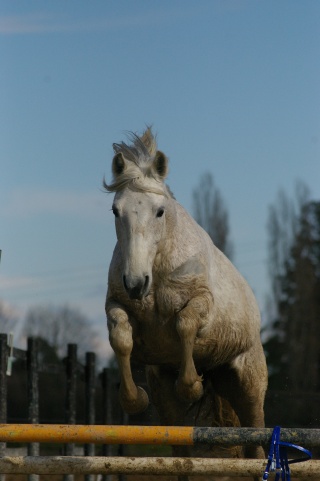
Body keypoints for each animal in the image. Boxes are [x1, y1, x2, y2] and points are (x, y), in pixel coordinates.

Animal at [104, 126, 268, 462]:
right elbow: (121, 338)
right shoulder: (115, 303)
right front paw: (134, 399)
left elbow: (185, 324)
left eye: (159, 212)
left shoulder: (202, 301)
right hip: (171, 405)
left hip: (249, 388)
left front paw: (191, 385)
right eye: (115, 210)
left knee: (256, 443)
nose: (135, 283)